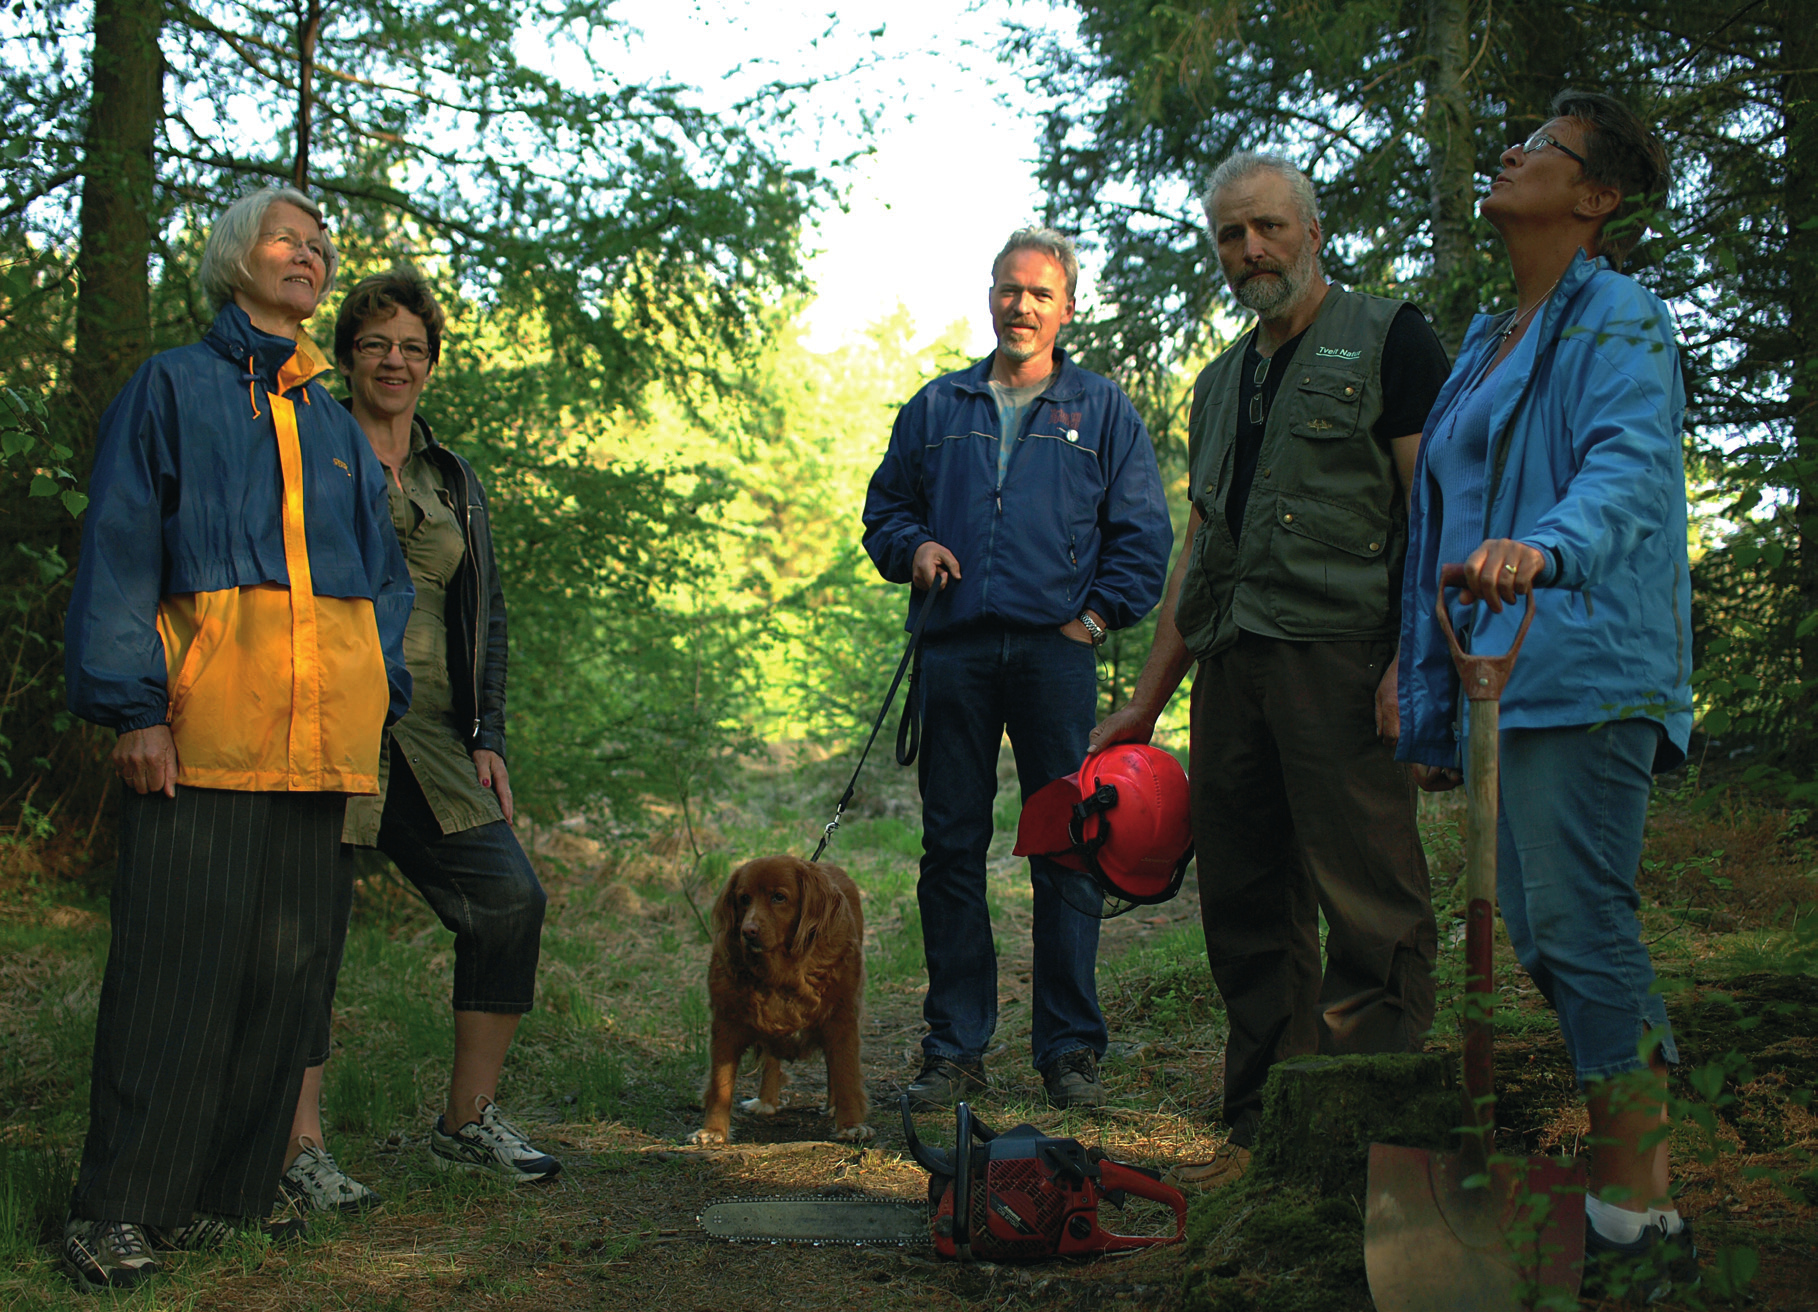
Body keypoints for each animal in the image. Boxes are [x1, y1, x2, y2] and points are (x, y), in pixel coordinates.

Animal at [687, 854, 872, 1141]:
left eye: (779, 897)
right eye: (744, 898)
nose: (748, 931)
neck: (781, 971)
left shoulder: (842, 1018)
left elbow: (846, 1074)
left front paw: (850, 1124)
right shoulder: (726, 1021)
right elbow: (720, 1082)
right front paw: (713, 1129)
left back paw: (832, 1104)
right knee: (772, 1059)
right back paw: (767, 1100)